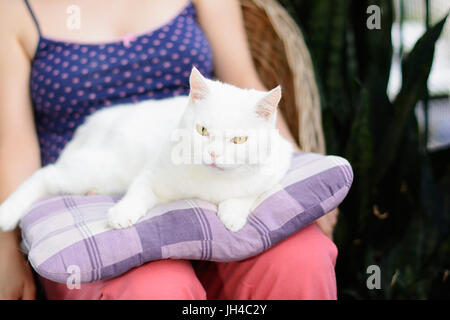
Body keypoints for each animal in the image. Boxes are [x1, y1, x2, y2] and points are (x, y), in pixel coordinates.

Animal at [0, 67, 294, 232]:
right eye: (202, 130)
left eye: (239, 140)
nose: (213, 155)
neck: (211, 184)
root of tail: (101, 118)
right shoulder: (154, 172)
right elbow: (139, 191)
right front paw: (122, 213)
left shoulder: (277, 163)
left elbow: (248, 193)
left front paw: (232, 214)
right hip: (102, 167)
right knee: (45, 174)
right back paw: (8, 213)